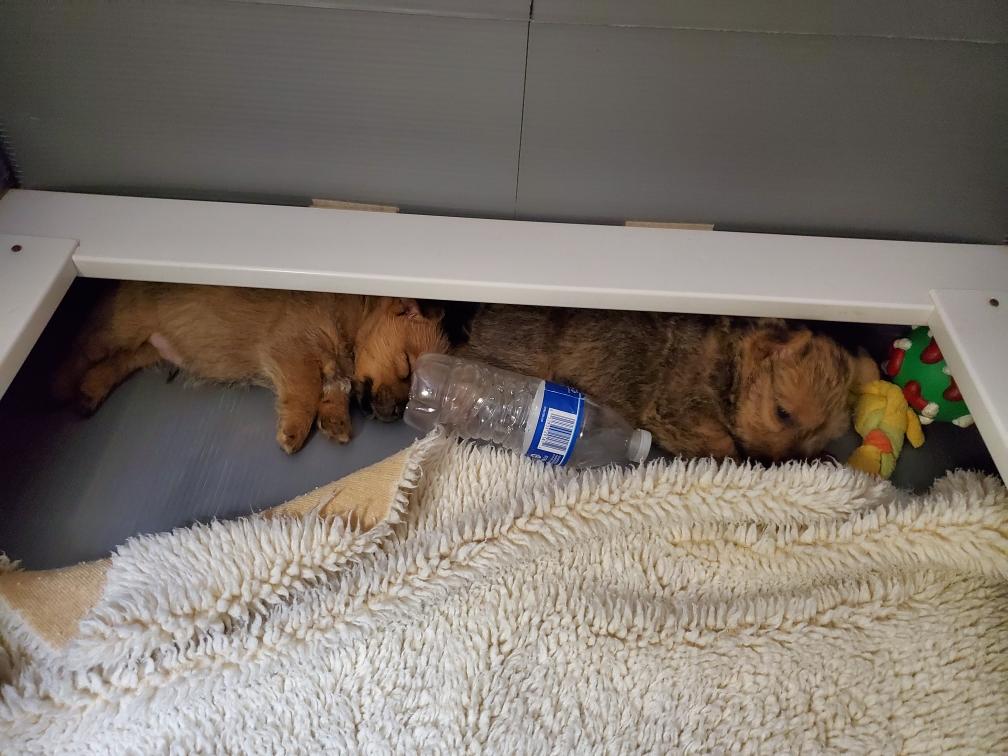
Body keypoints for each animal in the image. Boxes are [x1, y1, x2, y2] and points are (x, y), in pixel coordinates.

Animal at [53, 282, 448, 453]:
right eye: (407, 367)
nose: (395, 413)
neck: (354, 316)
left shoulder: (332, 367)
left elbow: (334, 390)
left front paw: (334, 421)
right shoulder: (292, 349)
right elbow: (306, 391)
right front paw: (294, 430)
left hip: (148, 346)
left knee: (116, 363)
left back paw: (90, 391)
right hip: (119, 328)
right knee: (77, 351)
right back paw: (57, 387)